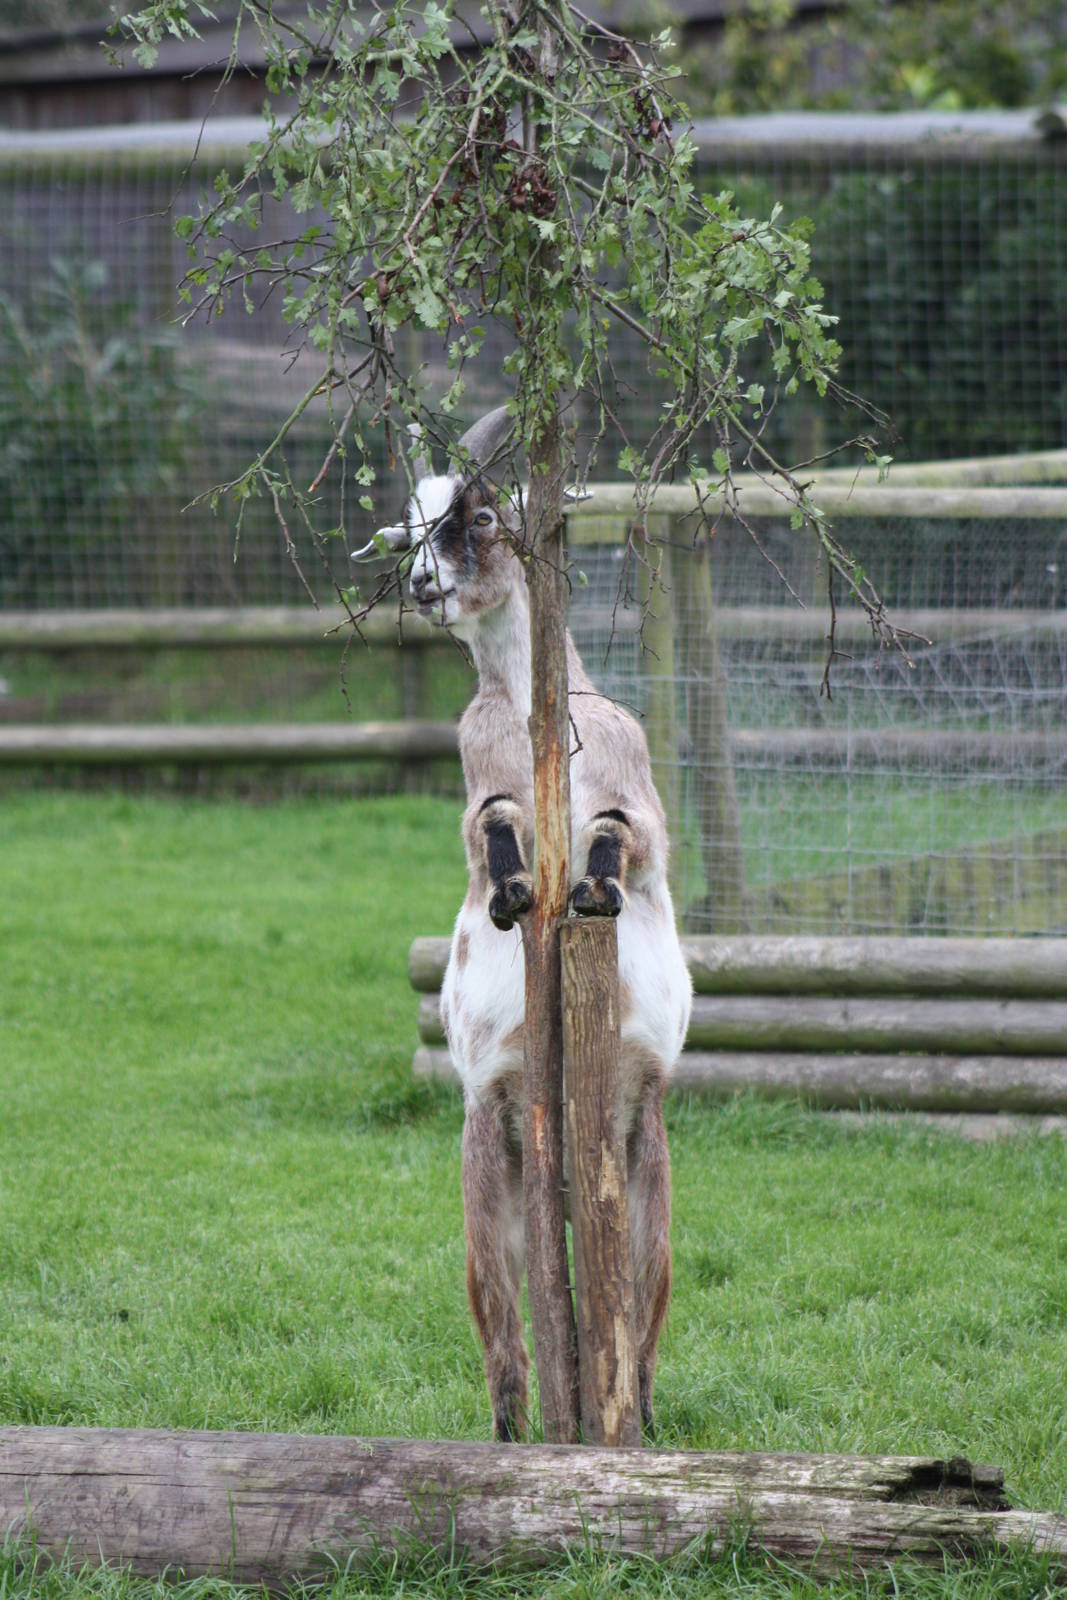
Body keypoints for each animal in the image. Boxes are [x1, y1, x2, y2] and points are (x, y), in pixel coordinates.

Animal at [357, 406, 692, 1440]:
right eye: (409, 529)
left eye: (476, 517)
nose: (422, 586)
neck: (539, 712)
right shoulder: (480, 783)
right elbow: (493, 825)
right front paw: (510, 897)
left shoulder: (638, 797)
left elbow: (619, 835)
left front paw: (594, 892)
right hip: (488, 1154)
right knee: (504, 1333)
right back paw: (513, 1446)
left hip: (640, 1153)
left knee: (638, 1314)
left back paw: (638, 1427)